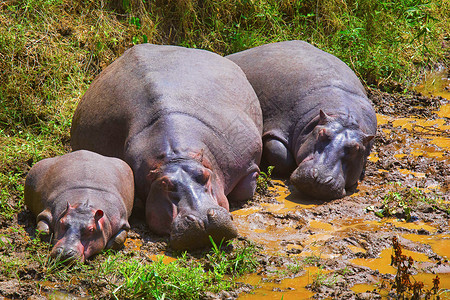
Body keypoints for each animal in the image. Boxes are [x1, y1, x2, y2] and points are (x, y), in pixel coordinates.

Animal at [68, 44, 262, 251]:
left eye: (205, 176)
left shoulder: (247, 163)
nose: (202, 219)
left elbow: (245, 188)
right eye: (165, 185)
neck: (176, 158)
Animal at [227, 39, 378, 199]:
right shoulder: (280, 125)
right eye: (321, 133)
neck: (343, 116)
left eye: (357, 149)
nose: (320, 178)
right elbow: (280, 153)